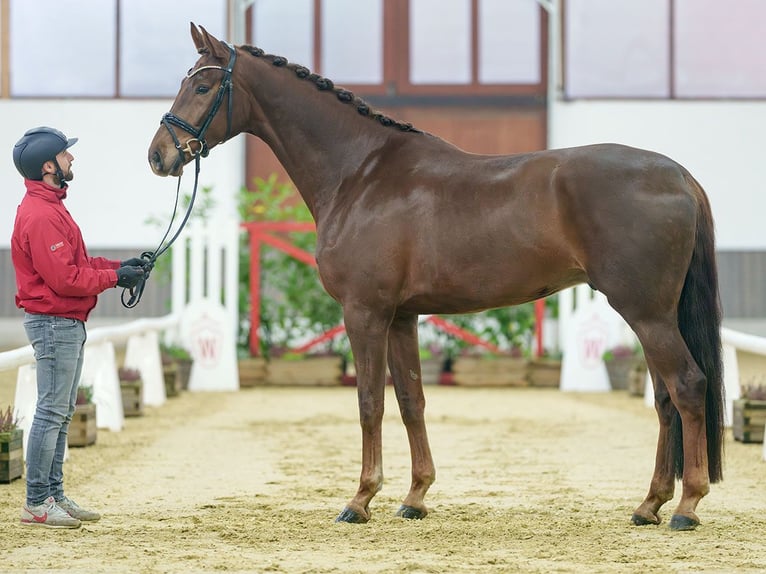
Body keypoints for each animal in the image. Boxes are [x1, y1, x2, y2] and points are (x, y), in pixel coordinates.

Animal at [148, 24, 728, 532]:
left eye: (202, 85)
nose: (158, 155)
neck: (360, 173)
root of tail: (679, 175)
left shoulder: (364, 312)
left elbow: (369, 401)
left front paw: (359, 500)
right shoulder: (402, 317)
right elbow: (411, 401)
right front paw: (415, 497)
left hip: (645, 312)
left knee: (687, 386)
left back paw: (687, 506)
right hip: (650, 315)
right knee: (664, 399)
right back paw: (648, 505)